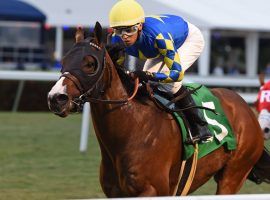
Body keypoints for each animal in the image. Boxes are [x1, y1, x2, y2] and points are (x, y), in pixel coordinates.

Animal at [46, 22, 264, 196]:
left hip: (233, 175)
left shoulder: (152, 190)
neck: (133, 128)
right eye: (63, 61)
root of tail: (243, 106)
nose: (56, 98)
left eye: (90, 63)